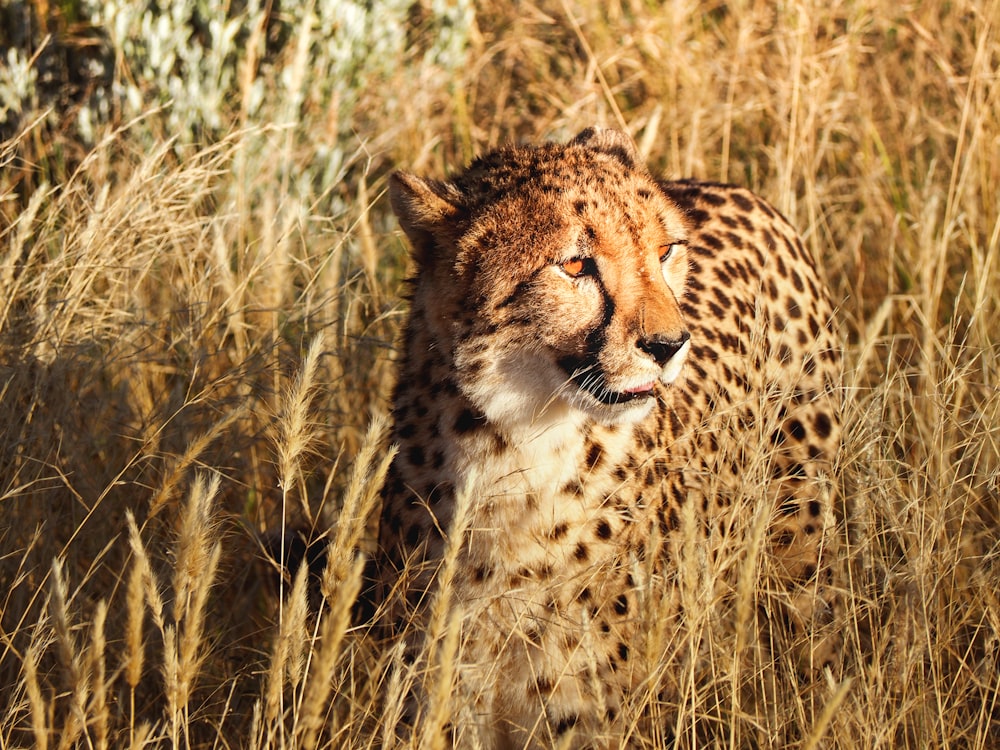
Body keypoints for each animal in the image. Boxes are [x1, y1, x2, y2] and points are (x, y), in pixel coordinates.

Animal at [372, 126, 840, 748]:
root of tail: (736, 188)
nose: (669, 345)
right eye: (575, 265)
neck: (512, 452)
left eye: (665, 252)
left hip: (803, 576)